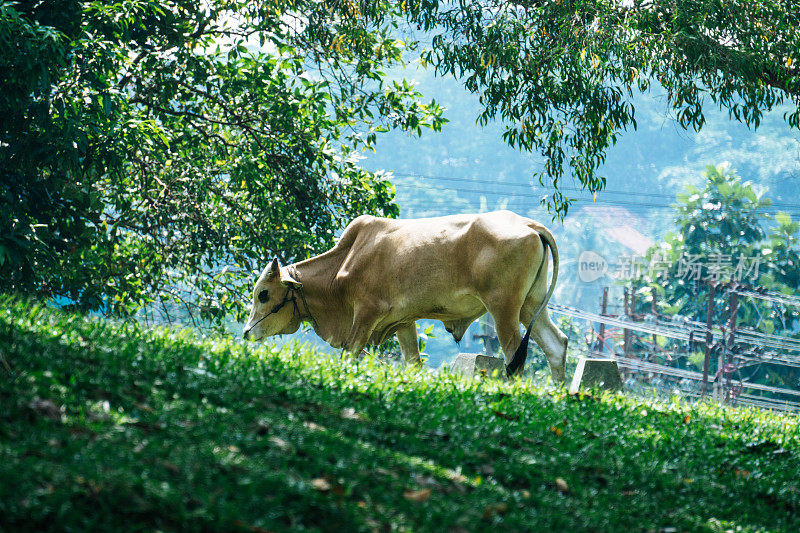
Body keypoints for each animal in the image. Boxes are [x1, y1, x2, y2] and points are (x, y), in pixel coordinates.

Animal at [244, 210, 568, 380]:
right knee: (556, 345)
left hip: (503, 308)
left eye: (263, 294)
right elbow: (412, 361)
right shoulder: (403, 322)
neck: (344, 263)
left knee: (514, 355)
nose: (247, 332)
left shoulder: (367, 313)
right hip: (531, 305)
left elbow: (349, 353)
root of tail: (528, 224)